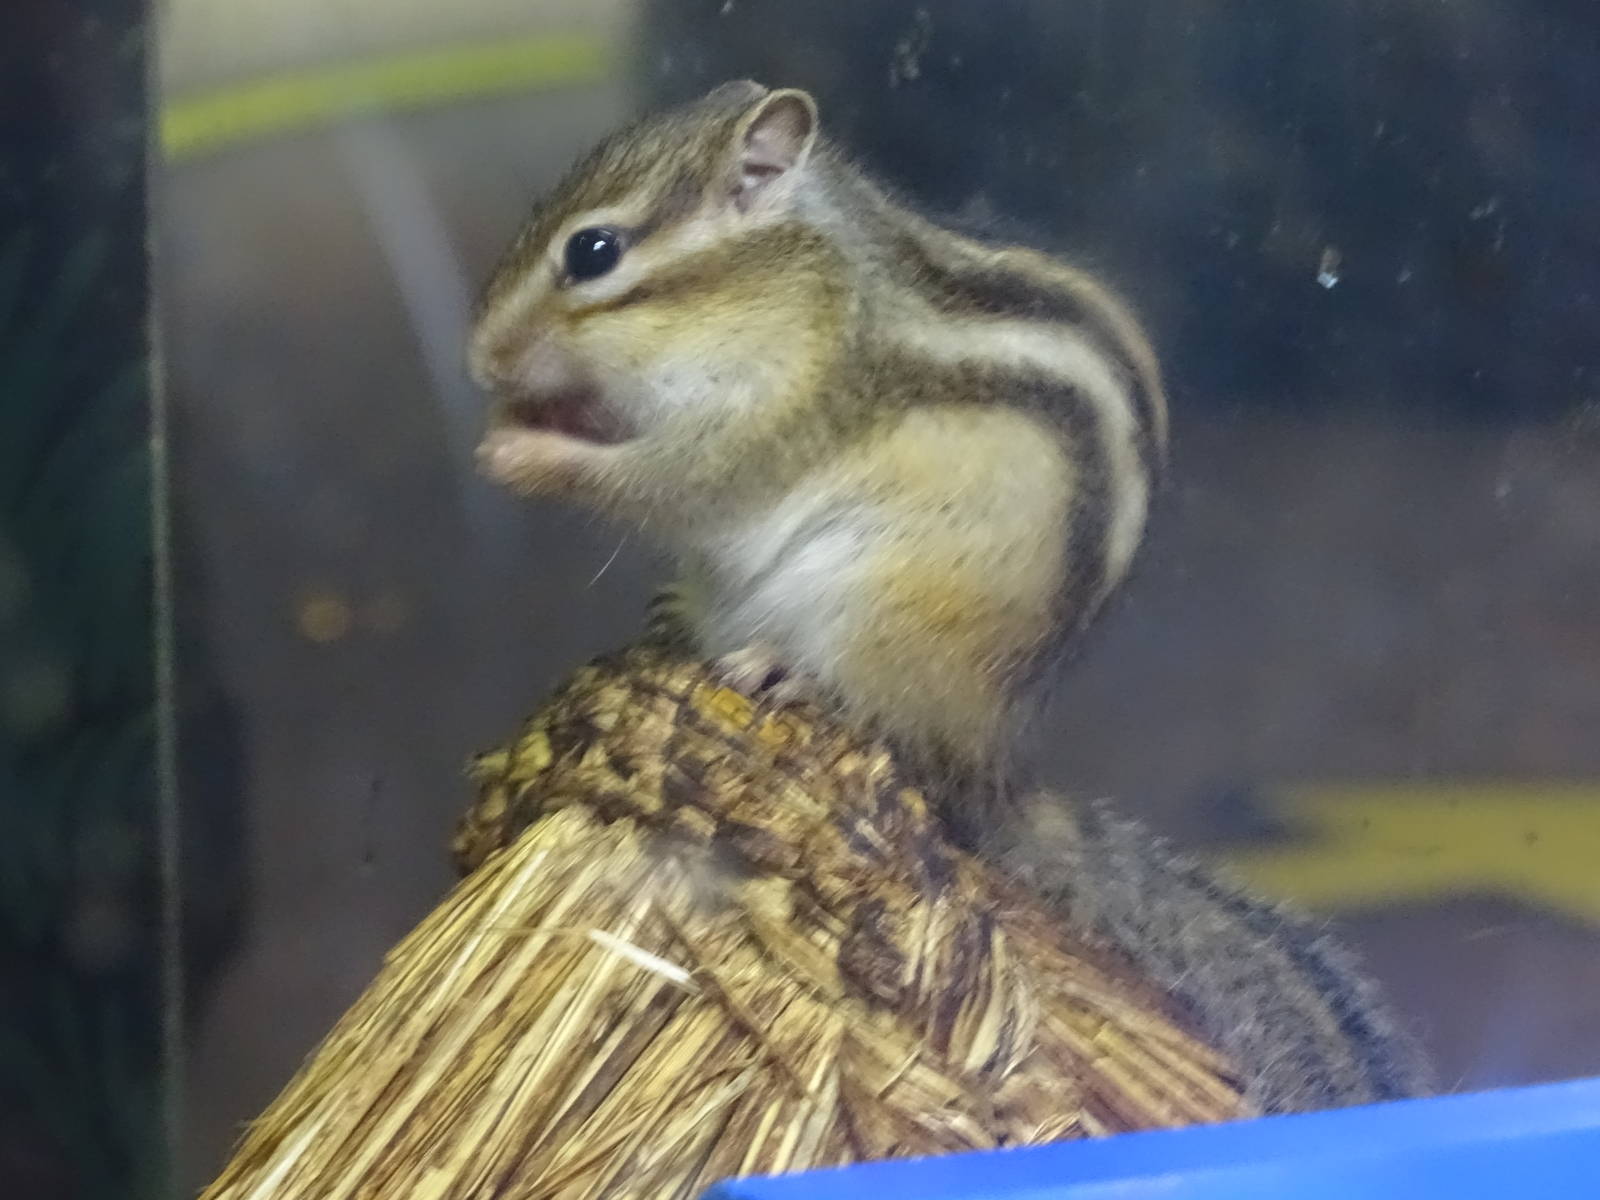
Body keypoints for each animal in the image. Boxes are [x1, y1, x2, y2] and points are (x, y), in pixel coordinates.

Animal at [468, 80, 1430, 1113]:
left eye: (593, 252)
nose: (479, 357)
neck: (795, 285)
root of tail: (988, 759)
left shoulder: (777, 411)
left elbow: (671, 480)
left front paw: (517, 449)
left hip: (876, 612)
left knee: (879, 715)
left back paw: (784, 670)